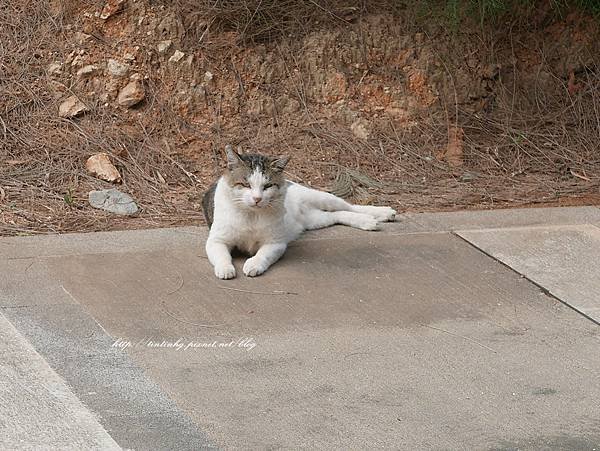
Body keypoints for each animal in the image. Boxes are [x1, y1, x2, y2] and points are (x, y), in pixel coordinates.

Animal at [203, 147, 398, 278]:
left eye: (267, 186)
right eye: (245, 185)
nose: (257, 198)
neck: (251, 214)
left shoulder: (276, 243)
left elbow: (263, 255)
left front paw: (254, 264)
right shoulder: (216, 240)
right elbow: (221, 255)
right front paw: (225, 268)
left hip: (321, 197)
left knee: (349, 206)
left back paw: (380, 214)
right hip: (316, 219)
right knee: (337, 215)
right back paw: (368, 221)